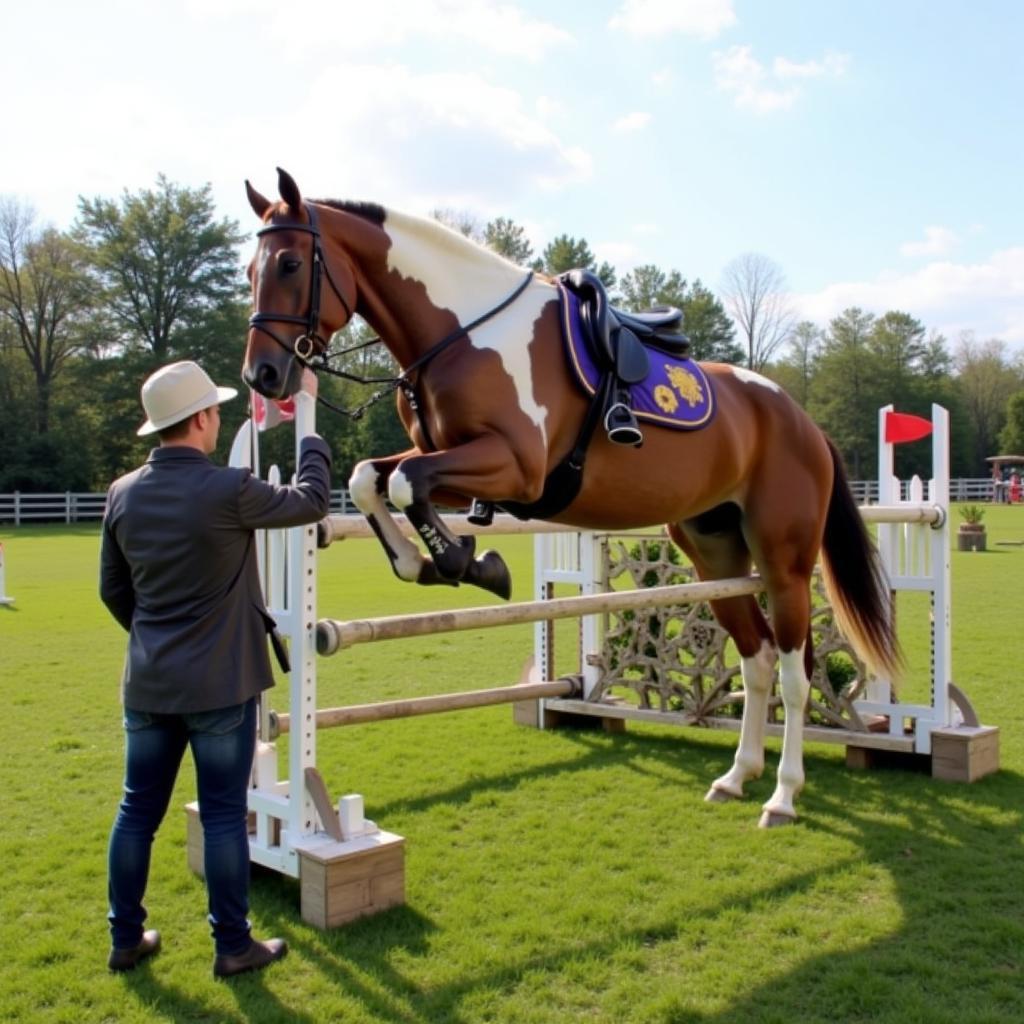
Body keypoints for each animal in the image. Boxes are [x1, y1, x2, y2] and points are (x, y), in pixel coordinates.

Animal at [241, 165, 897, 823]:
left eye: (291, 265)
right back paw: (738, 776)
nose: (261, 376)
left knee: (794, 673)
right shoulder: (449, 457)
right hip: (715, 554)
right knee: (758, 659)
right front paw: (432, 563)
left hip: (784, 562)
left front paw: (470, 563)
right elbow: (369, 479)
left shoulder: (515, 467)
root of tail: (802, 420)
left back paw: (783, 795)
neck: (460, 332)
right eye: (250, 271)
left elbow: (405, 484)